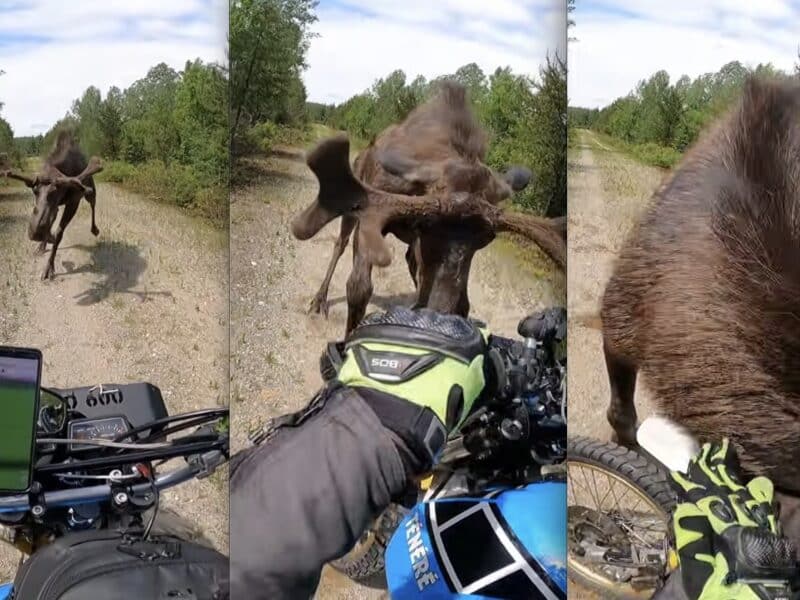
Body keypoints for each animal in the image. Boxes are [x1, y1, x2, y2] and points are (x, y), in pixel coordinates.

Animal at [2, 132, 103, 280]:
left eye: (56, 191)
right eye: (34, 191)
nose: (35, 233)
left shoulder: (73, 202)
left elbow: (59, 233)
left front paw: (49, 267)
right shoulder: (54, 208)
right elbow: (52, 225)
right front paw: (43, 244)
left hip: (91, 193)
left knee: (93, 205)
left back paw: (94, 229)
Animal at [291, 82, 567, 334]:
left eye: (486, 239)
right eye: (427, 225)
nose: (444, 311)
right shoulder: (373, 218)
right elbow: (358, 288)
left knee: (409, 261)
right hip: (351, 206)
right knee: (340, 244)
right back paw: (319, 300)